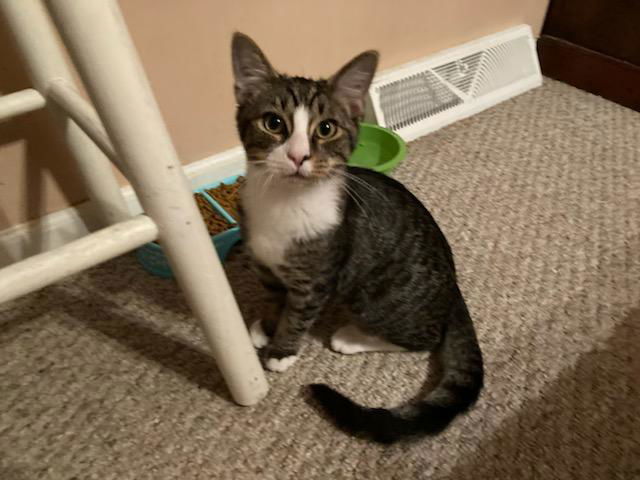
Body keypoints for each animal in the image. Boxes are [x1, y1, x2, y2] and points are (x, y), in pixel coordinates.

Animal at [232, 33, 482, 444]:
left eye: (326, 129)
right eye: (273, 123)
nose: (298, 156)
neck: (284, 203)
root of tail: (454, 287)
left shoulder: (317, 277)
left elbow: (298, 314)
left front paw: (281, 350)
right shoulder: (265, 265)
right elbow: (273, 297)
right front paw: (266, 326)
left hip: (375, 295)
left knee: (422, 339)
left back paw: (350, 337)